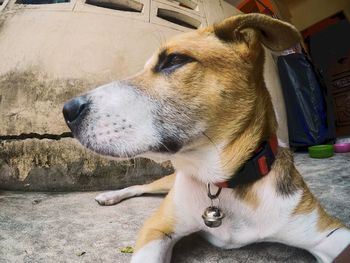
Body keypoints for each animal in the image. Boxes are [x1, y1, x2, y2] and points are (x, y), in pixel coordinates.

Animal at [63, 13, 350, 262]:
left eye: (174, 60)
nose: (67, 111)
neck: (221, 182)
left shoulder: (328, 233)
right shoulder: (156, 228)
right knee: (141, 186)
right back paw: (110, 195)